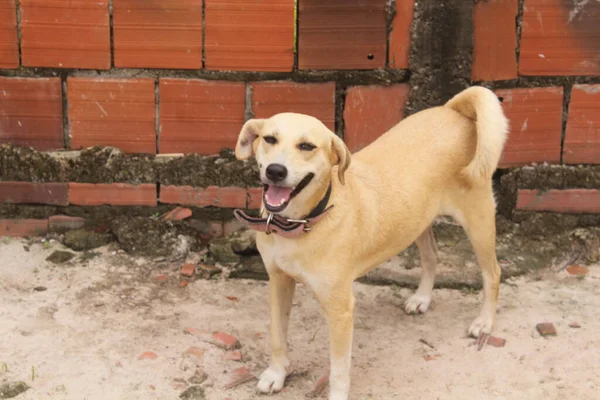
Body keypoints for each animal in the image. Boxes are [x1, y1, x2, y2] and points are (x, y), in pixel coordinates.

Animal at [232, 86, 508, 398]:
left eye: (307, 146)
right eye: (270, 139)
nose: (276, 171)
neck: (301, 224)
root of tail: (454, 112)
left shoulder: (340, 310)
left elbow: (339, 369)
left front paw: (337, 394)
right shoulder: (279, 282)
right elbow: (278, 335)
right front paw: (276, 374)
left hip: (478, 220)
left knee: (493, 273)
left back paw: (484, 322)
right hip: (416, 220)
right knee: (432, 257)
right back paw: (422, 298)